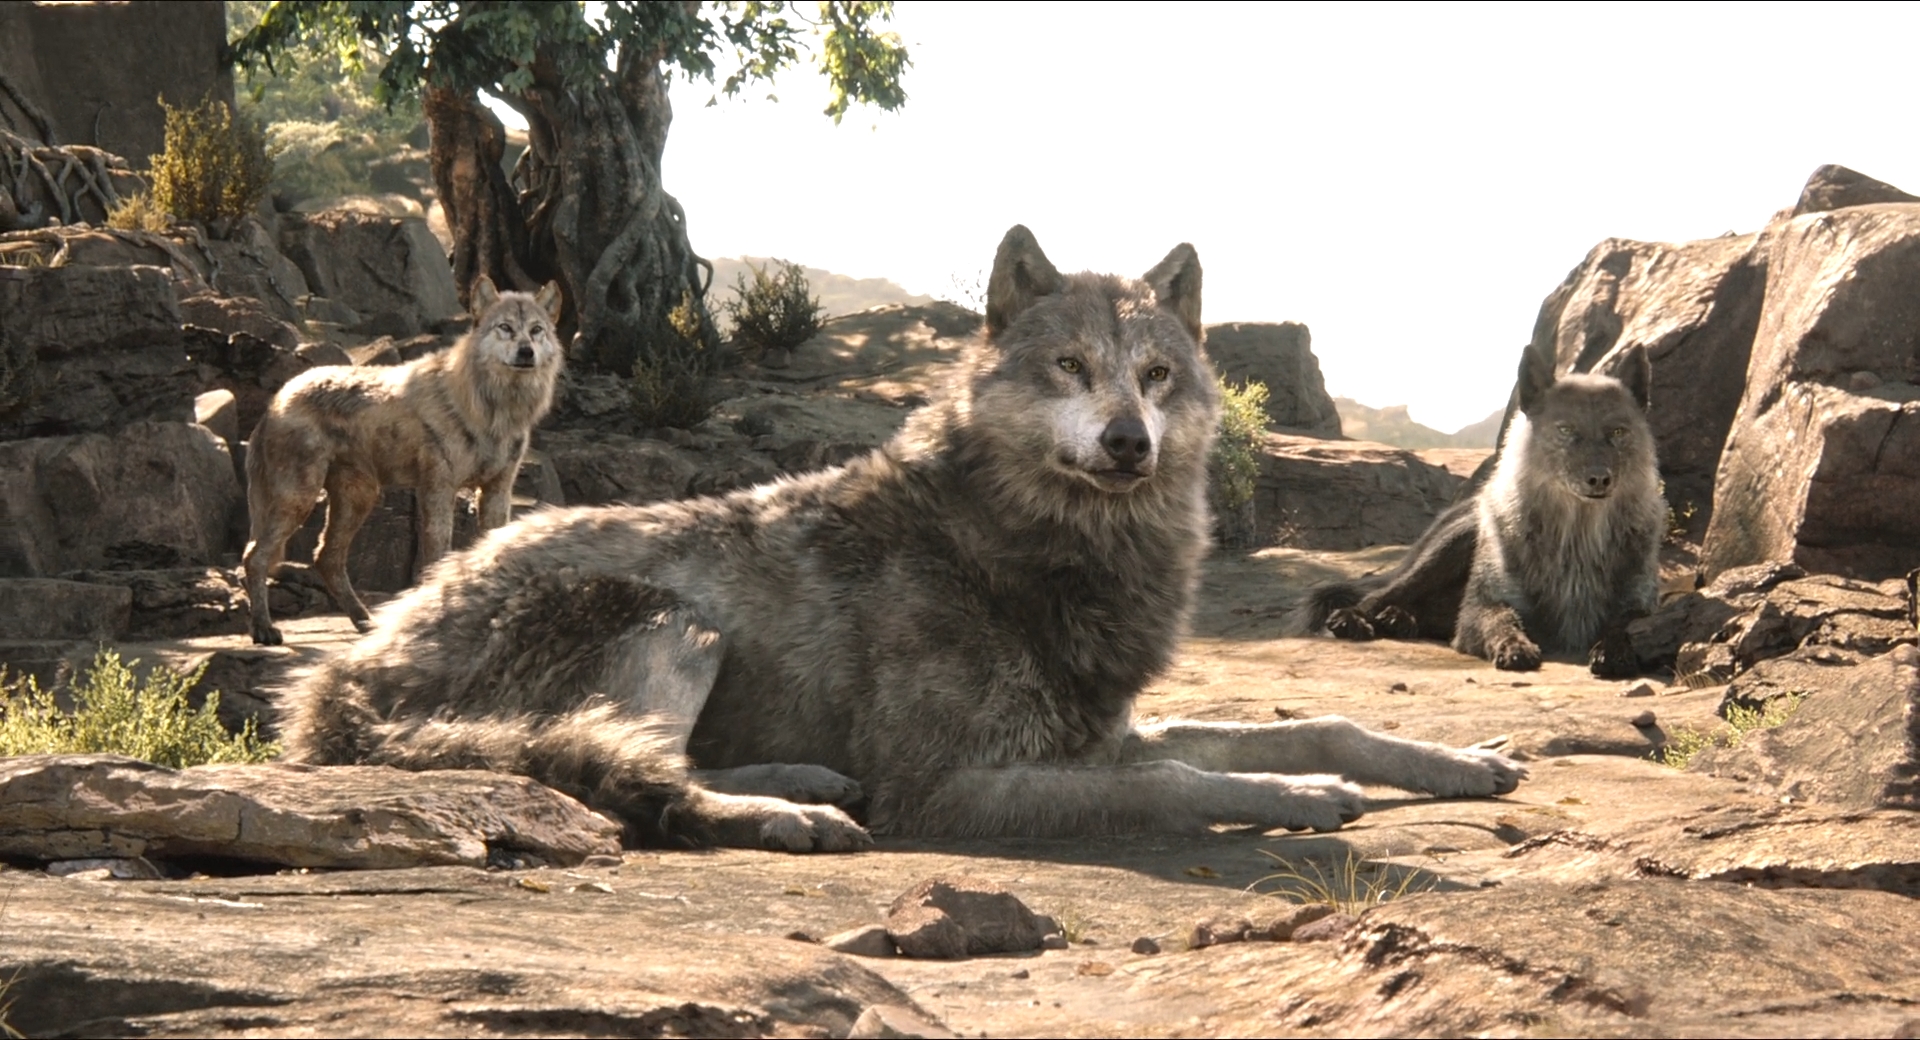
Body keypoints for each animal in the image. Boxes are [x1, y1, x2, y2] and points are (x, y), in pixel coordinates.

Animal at [241, 276, 564, 646]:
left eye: (536, 330)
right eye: (506, 328)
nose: (526, 352)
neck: (494, 409)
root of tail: (278, 397)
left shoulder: (497, 492)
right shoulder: (438, 490)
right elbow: (438, 557)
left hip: (358, 499)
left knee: (326, 558)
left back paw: (365, 623)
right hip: (300, 500)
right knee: (255, 556)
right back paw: (264, 629)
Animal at [275, 227, 1524, 852]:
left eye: (1157, 373)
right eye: (1071, 366)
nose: (1129, 442)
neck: (1011, 542)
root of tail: (343, 676)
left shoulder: (1094, 730)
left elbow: (1317, 718)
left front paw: (1460, 761)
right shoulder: (953, 785)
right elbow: (1181, 783)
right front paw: (1307, 793)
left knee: (637, 755)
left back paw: (811, 781)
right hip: (670, 617)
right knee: (632, 771)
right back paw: (795, 813)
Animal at [1287, 346, 1663, 676]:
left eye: (1618, 432)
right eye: (1566, 430)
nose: (1599, 479)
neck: (1576, 540)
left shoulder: (1640, 602)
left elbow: (1624, 622)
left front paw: (1613, 650)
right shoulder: (1481, 606)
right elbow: (1500, 620)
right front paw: (1514, 647)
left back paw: (1399, 620)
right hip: (1450, 545)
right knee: (1380, 593)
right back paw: (1356, 617)